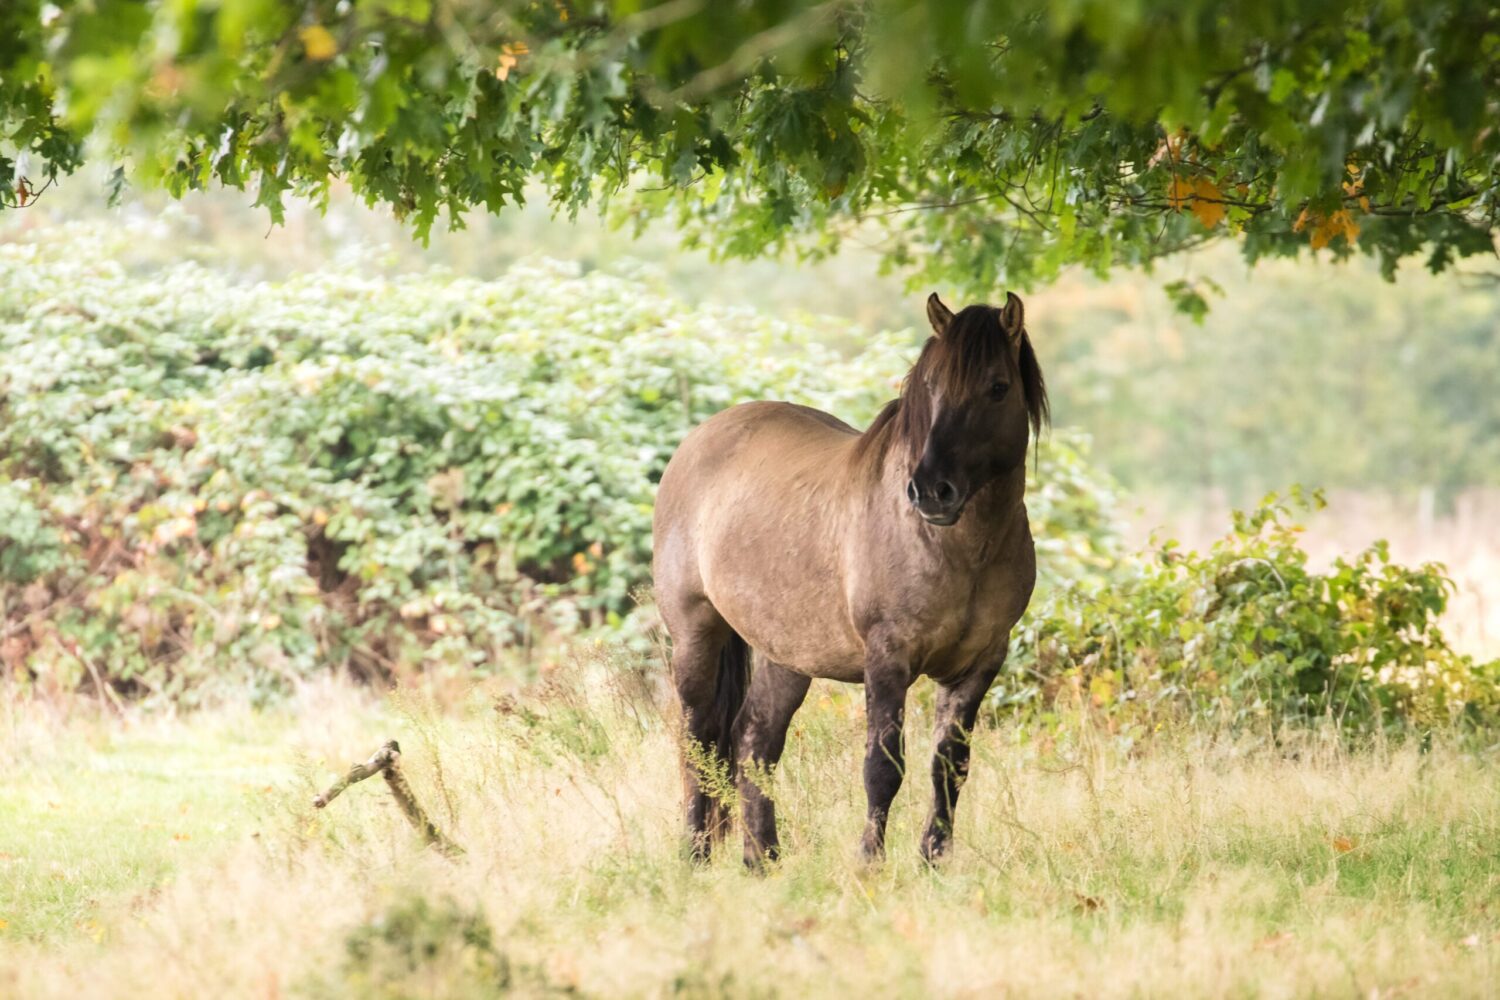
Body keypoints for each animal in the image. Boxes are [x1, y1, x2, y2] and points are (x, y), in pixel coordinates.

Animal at [651, 290, 1050, 869]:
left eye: (997, 387)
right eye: (930, 386)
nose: (931, 491)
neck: (955, 550)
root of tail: (699, 439)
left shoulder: (979, 663)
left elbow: (948, 767)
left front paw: (933, 862)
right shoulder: (887, 657)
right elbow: (883, 767)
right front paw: (869, 863)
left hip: (786, 655)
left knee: (753, 741)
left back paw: (762, 860)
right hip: (695, 635)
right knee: (698, 741)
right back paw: (697, 854)